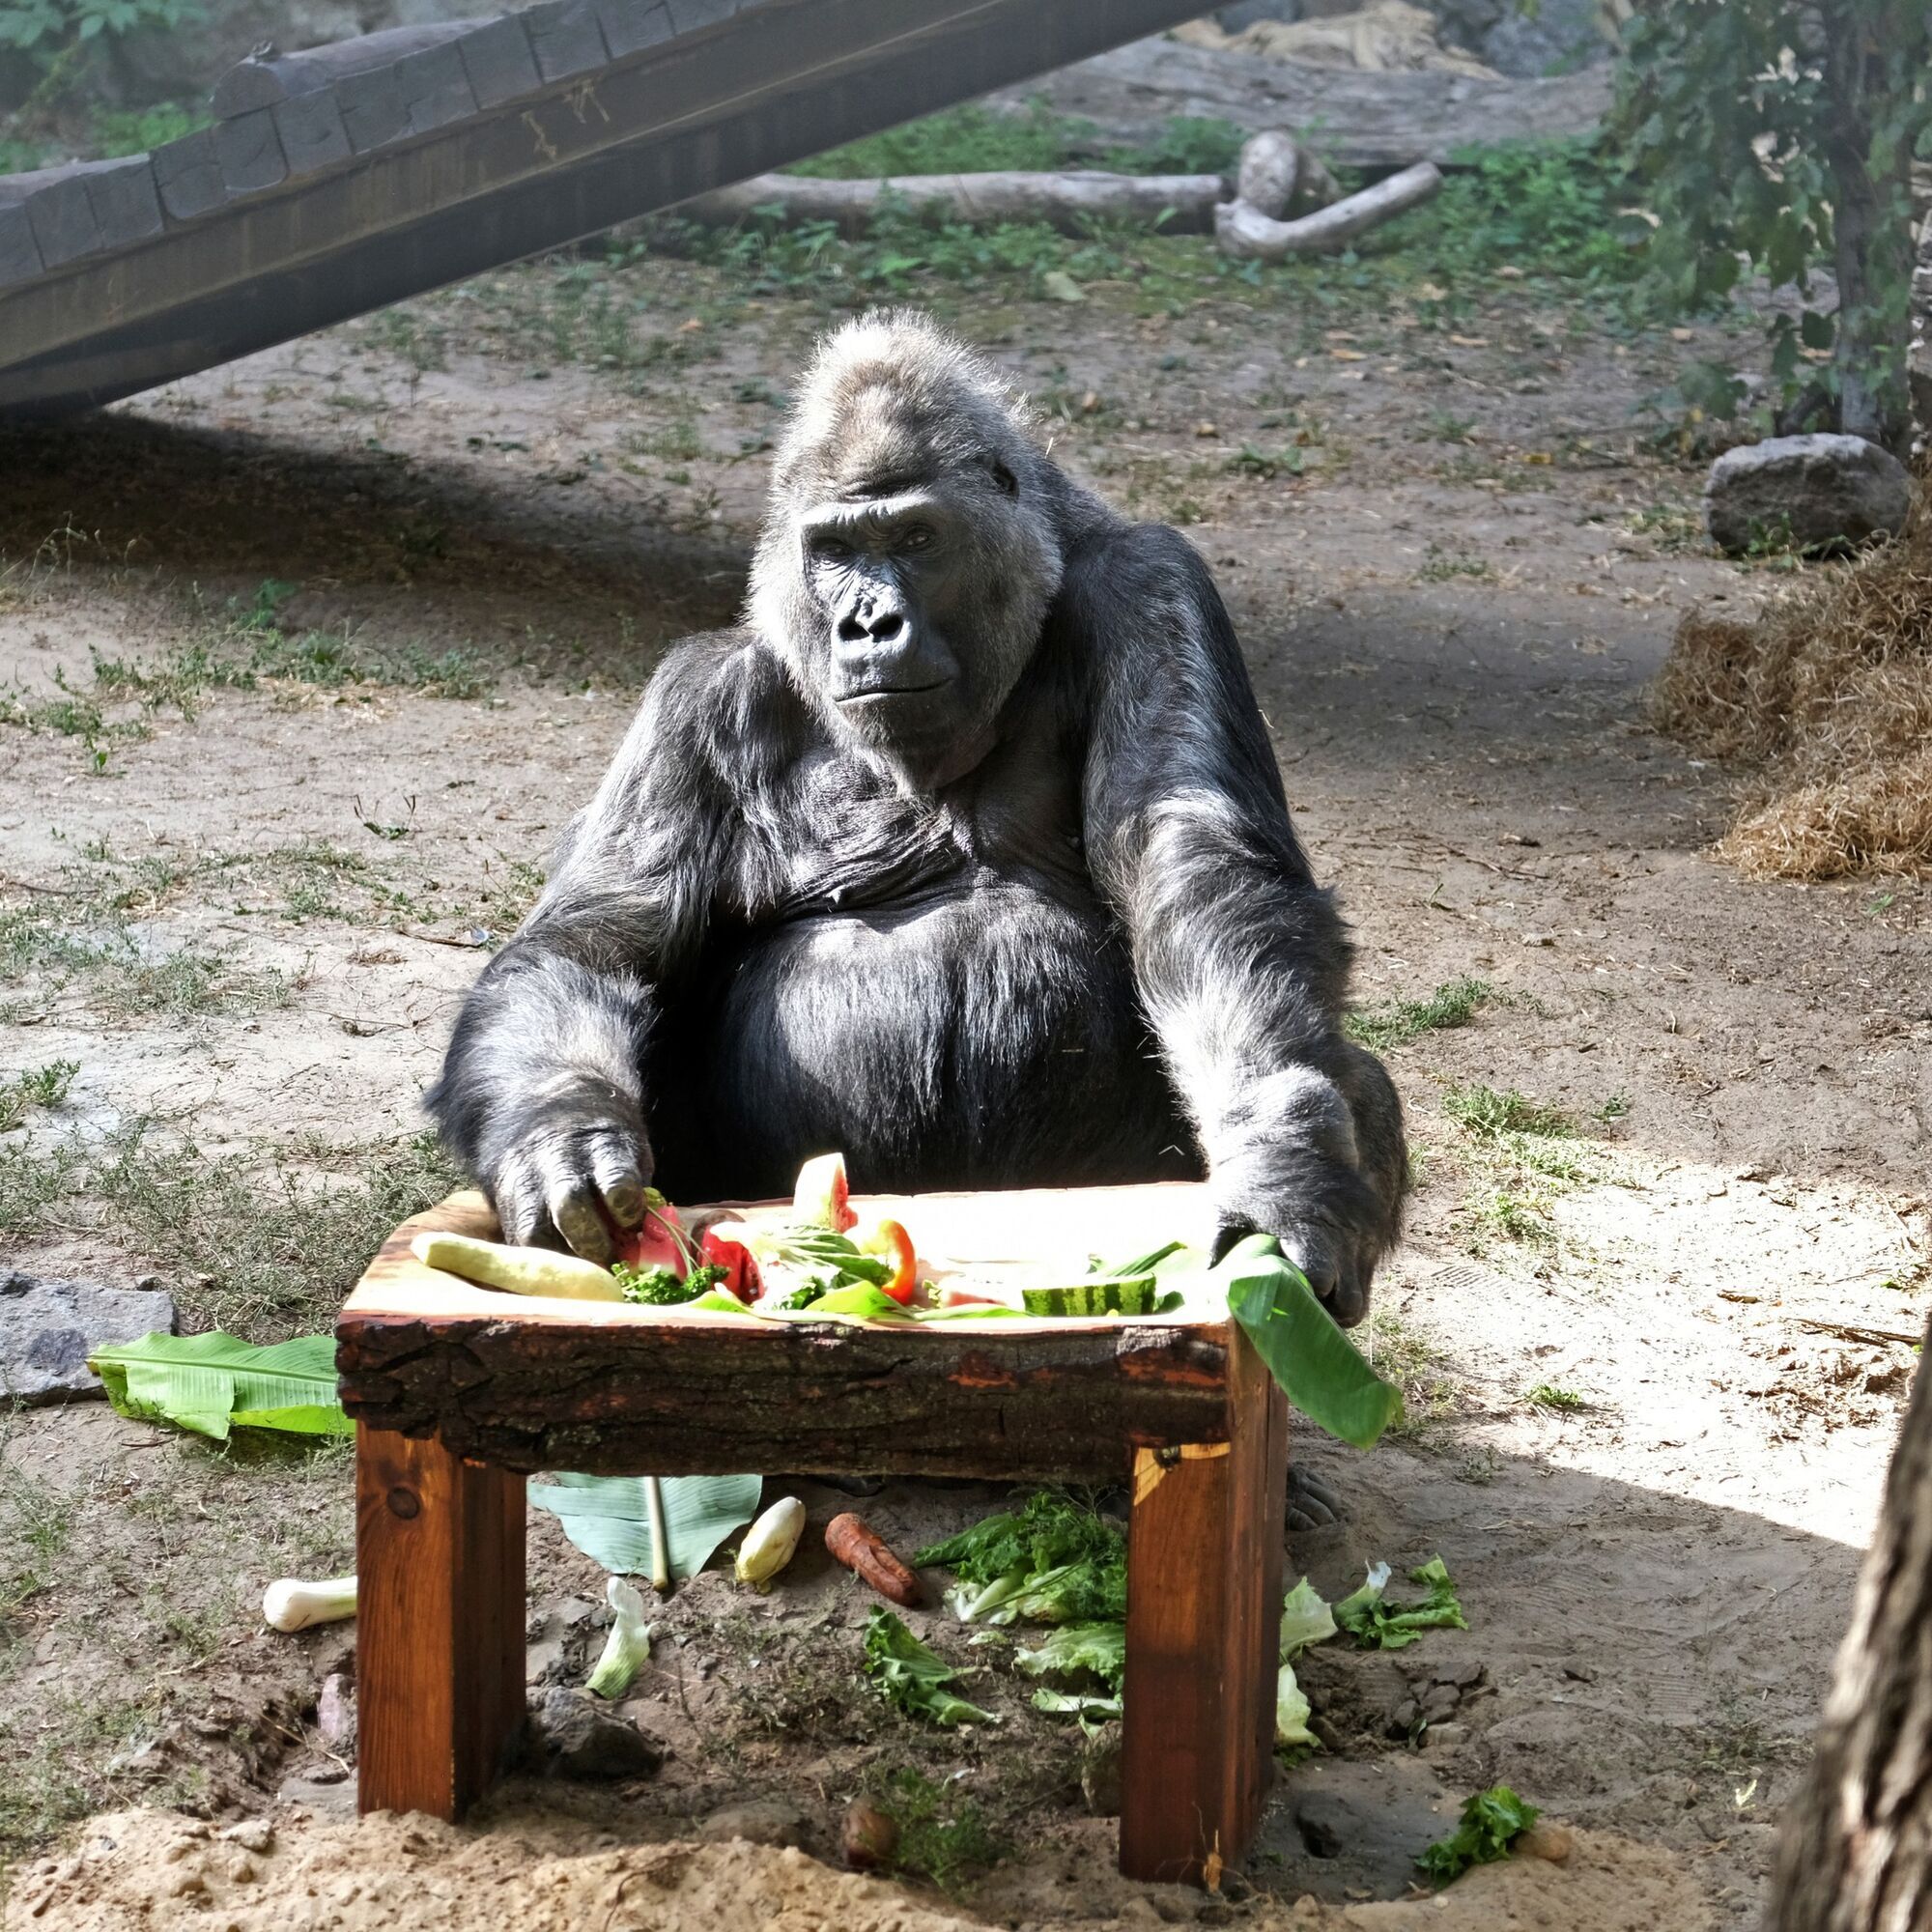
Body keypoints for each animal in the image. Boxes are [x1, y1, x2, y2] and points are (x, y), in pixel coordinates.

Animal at [427, 317, 1406, 1337]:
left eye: (917, 537)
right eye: (833, 549)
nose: (869, 624)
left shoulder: (1153, 589)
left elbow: (1200, 871)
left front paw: (1284, 1172)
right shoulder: (693, 698)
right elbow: (593, 945)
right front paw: (562, 1132)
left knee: (1355, 1078)